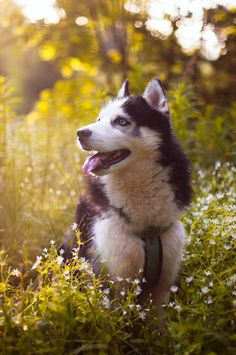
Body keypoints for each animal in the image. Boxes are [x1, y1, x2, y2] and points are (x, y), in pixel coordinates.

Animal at [66, 79, 190, 308]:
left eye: (122, 121)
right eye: (99, 119)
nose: (80, 133)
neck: (148, 230)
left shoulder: (162, 287)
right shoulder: (114, 283)